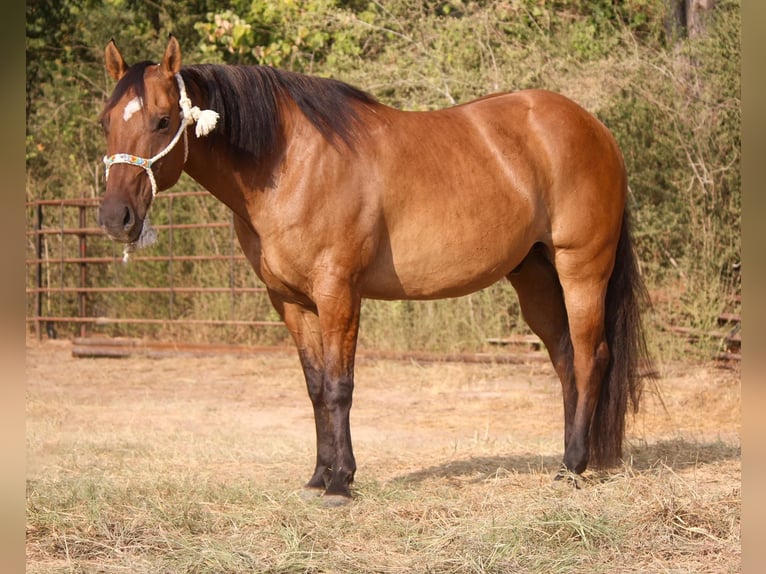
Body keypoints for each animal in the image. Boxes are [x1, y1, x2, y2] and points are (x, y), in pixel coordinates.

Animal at [99, 35, 656, 504]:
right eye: (105, 122)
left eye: (163, 121)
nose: (115, 217)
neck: (292, 162)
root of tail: (595, 128)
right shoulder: (292, 302)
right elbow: (315, 388)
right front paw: (318, 477)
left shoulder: (339, 293)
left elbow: (339, 387)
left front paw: (341, 484)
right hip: (534, 275)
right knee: (564, 359)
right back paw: (567, 460)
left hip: (581, 269)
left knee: (591, 357)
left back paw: (573, 466)